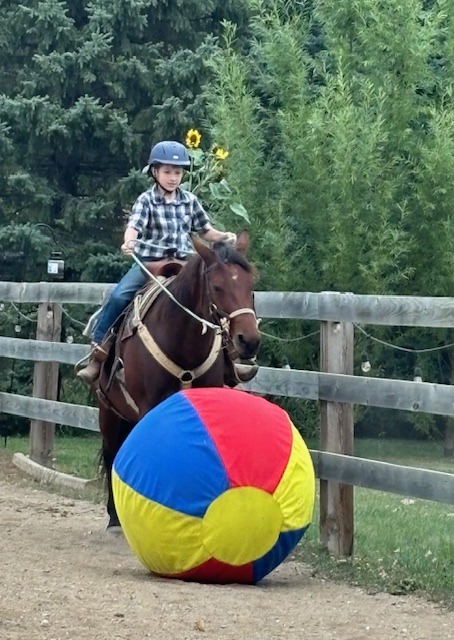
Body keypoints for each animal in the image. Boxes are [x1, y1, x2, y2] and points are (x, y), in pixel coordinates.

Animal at [96, 232, 258, 528]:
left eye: (250, 285)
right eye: (217, 287)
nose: (249, 340)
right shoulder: (149, 407)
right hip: (108, 411)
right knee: (113, 453)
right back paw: (115, 519)